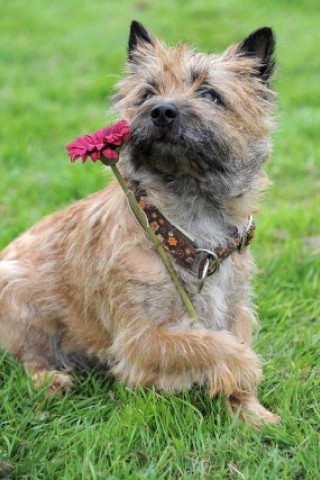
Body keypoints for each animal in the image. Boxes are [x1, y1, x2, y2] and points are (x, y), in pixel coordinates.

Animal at [0, 21, 280, 424]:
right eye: (148, 93)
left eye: (210, 94)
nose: (161, 111)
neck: (188, 225)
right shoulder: (140, 336)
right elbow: (211, 345)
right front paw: (245, 368)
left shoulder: (234, 309)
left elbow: (226, 341)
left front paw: (251, 412)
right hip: (19, 296)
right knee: (29, 359)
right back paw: (51, 381)